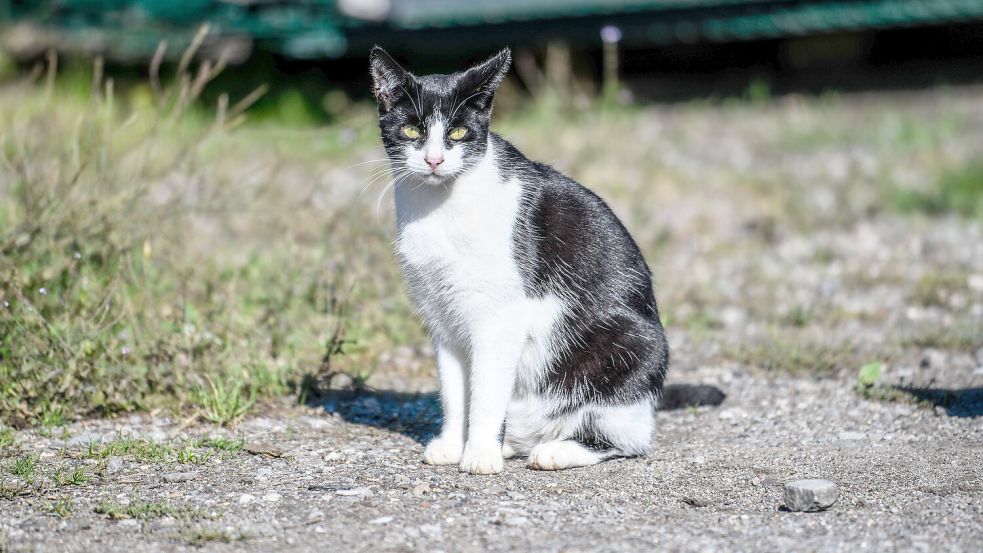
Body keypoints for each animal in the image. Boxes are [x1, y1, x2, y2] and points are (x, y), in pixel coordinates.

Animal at [368, 45, 668, 472]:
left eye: (458, 132)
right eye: (411, 131)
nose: (434, 161)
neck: (439, 207)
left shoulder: (500, 319)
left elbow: (485, 396)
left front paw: (479, 454)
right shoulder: (442, 319)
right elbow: (455, 392)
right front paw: (453, 444)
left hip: (631, 346)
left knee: (626, 438)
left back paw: (554, 450)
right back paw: (512, 443)